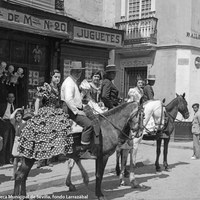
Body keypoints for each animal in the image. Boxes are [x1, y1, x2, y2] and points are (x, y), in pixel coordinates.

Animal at [12, 101, 144, 200]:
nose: (140, 132)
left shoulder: (97, 156)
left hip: (28, 156)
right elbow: (99, 175)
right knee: (20, 175)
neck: (108, 126)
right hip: (30, 157)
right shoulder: (103, 156)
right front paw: (100, 194)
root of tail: (27, 122)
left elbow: (96, 174)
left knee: (22, 176)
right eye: (142, 114)